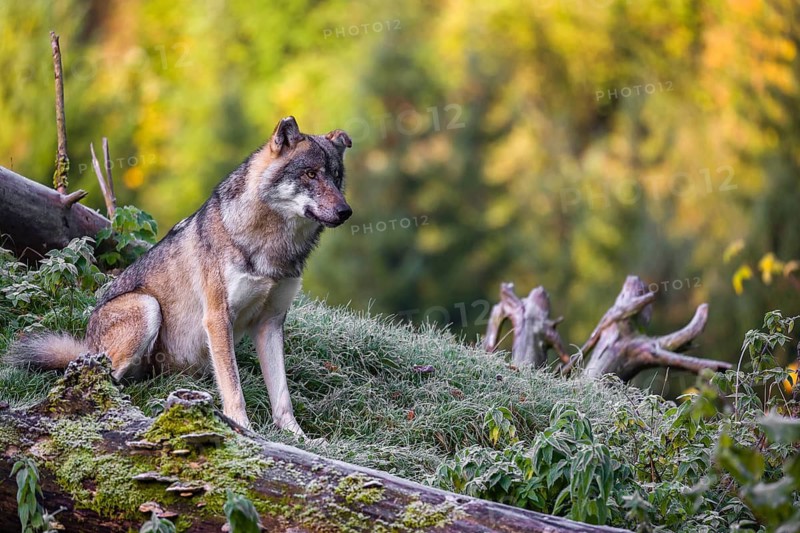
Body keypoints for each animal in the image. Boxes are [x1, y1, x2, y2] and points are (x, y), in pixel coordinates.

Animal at [5, 117, 352, 436]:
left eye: (336, 178)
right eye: (311, 174)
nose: (346, 212)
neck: (273, 245)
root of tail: (85, 347)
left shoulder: (271, 323)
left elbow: (282, 396)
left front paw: (298, 438)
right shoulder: (217, 318)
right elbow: (233, 387)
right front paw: (242, 428)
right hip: (146, 307)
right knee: (99, 380)